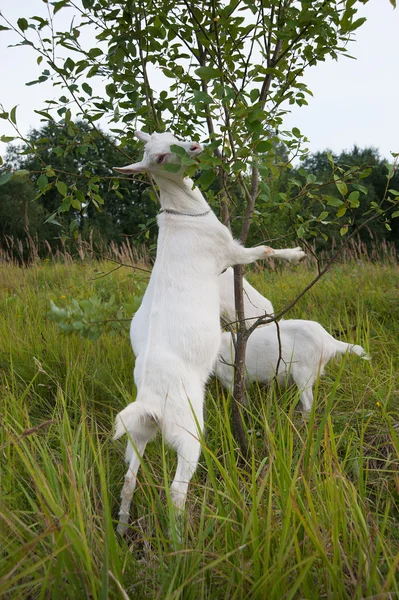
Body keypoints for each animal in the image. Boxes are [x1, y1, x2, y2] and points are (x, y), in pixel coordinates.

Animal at [112, 130, 306, 536]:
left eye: (168, 135)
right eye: (158, 158)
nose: (196, 147)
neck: (185, 216)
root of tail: (150, 403)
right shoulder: (231, 253)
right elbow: (264, 250)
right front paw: (296, 254)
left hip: (138, 434)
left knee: (129, 479)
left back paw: (122, 529)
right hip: (188, 432)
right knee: (176, 489)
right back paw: (180, 538)